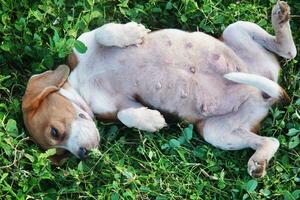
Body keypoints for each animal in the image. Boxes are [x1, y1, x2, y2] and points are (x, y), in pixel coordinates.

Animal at [22, 0, 296, 177]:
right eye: (62, 152)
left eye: (55, 132)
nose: (84, 154)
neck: (83, 83)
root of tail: (266, 95)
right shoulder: (120, 105)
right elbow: (126, 114)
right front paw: (151, 120)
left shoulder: (85, 41)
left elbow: (105, 32)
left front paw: (132, 32)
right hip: (218, 132)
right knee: (270, 140)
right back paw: (258, 161)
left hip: (236, 30)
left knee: (289, 51)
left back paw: (280, 17)